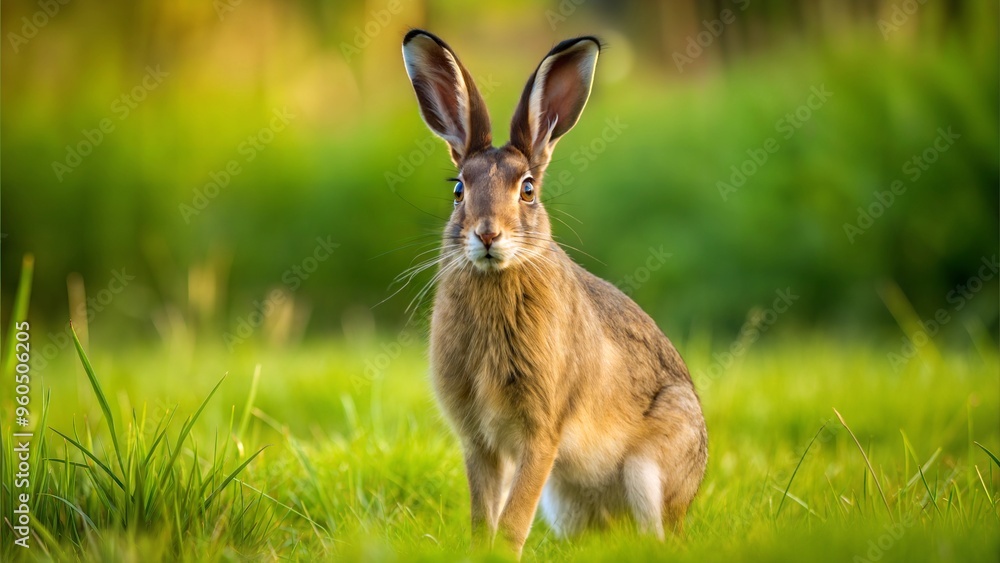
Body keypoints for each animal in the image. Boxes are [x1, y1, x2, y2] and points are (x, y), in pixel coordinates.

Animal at [401, 29, 708, 557]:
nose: (487, 234)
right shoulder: (480, 443)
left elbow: (513, 519)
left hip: (648, 470)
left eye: (527, 190)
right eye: (459, 190)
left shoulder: (541, 432)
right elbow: (484, 515)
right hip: (564, 499)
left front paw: (501, 554)